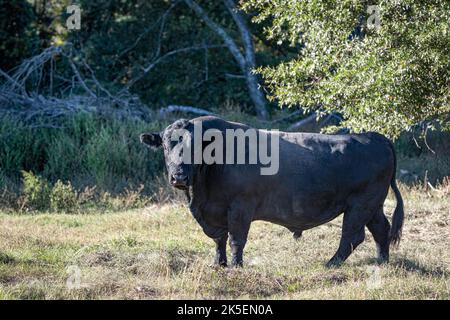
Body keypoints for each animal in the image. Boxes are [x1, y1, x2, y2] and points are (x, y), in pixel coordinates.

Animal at [140, 116, 404, 266]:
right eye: (165, 145)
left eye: (195, 146)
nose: (179, 176)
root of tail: (374, 137)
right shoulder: (214, 211)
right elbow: (219, 239)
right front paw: (218, 264)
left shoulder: (240, 207)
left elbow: (236, 239)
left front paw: (236, 266)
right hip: (372, 206)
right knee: (381, 229)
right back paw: (382, 261)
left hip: (360, 205)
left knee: (352, 235)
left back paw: (331, 263)